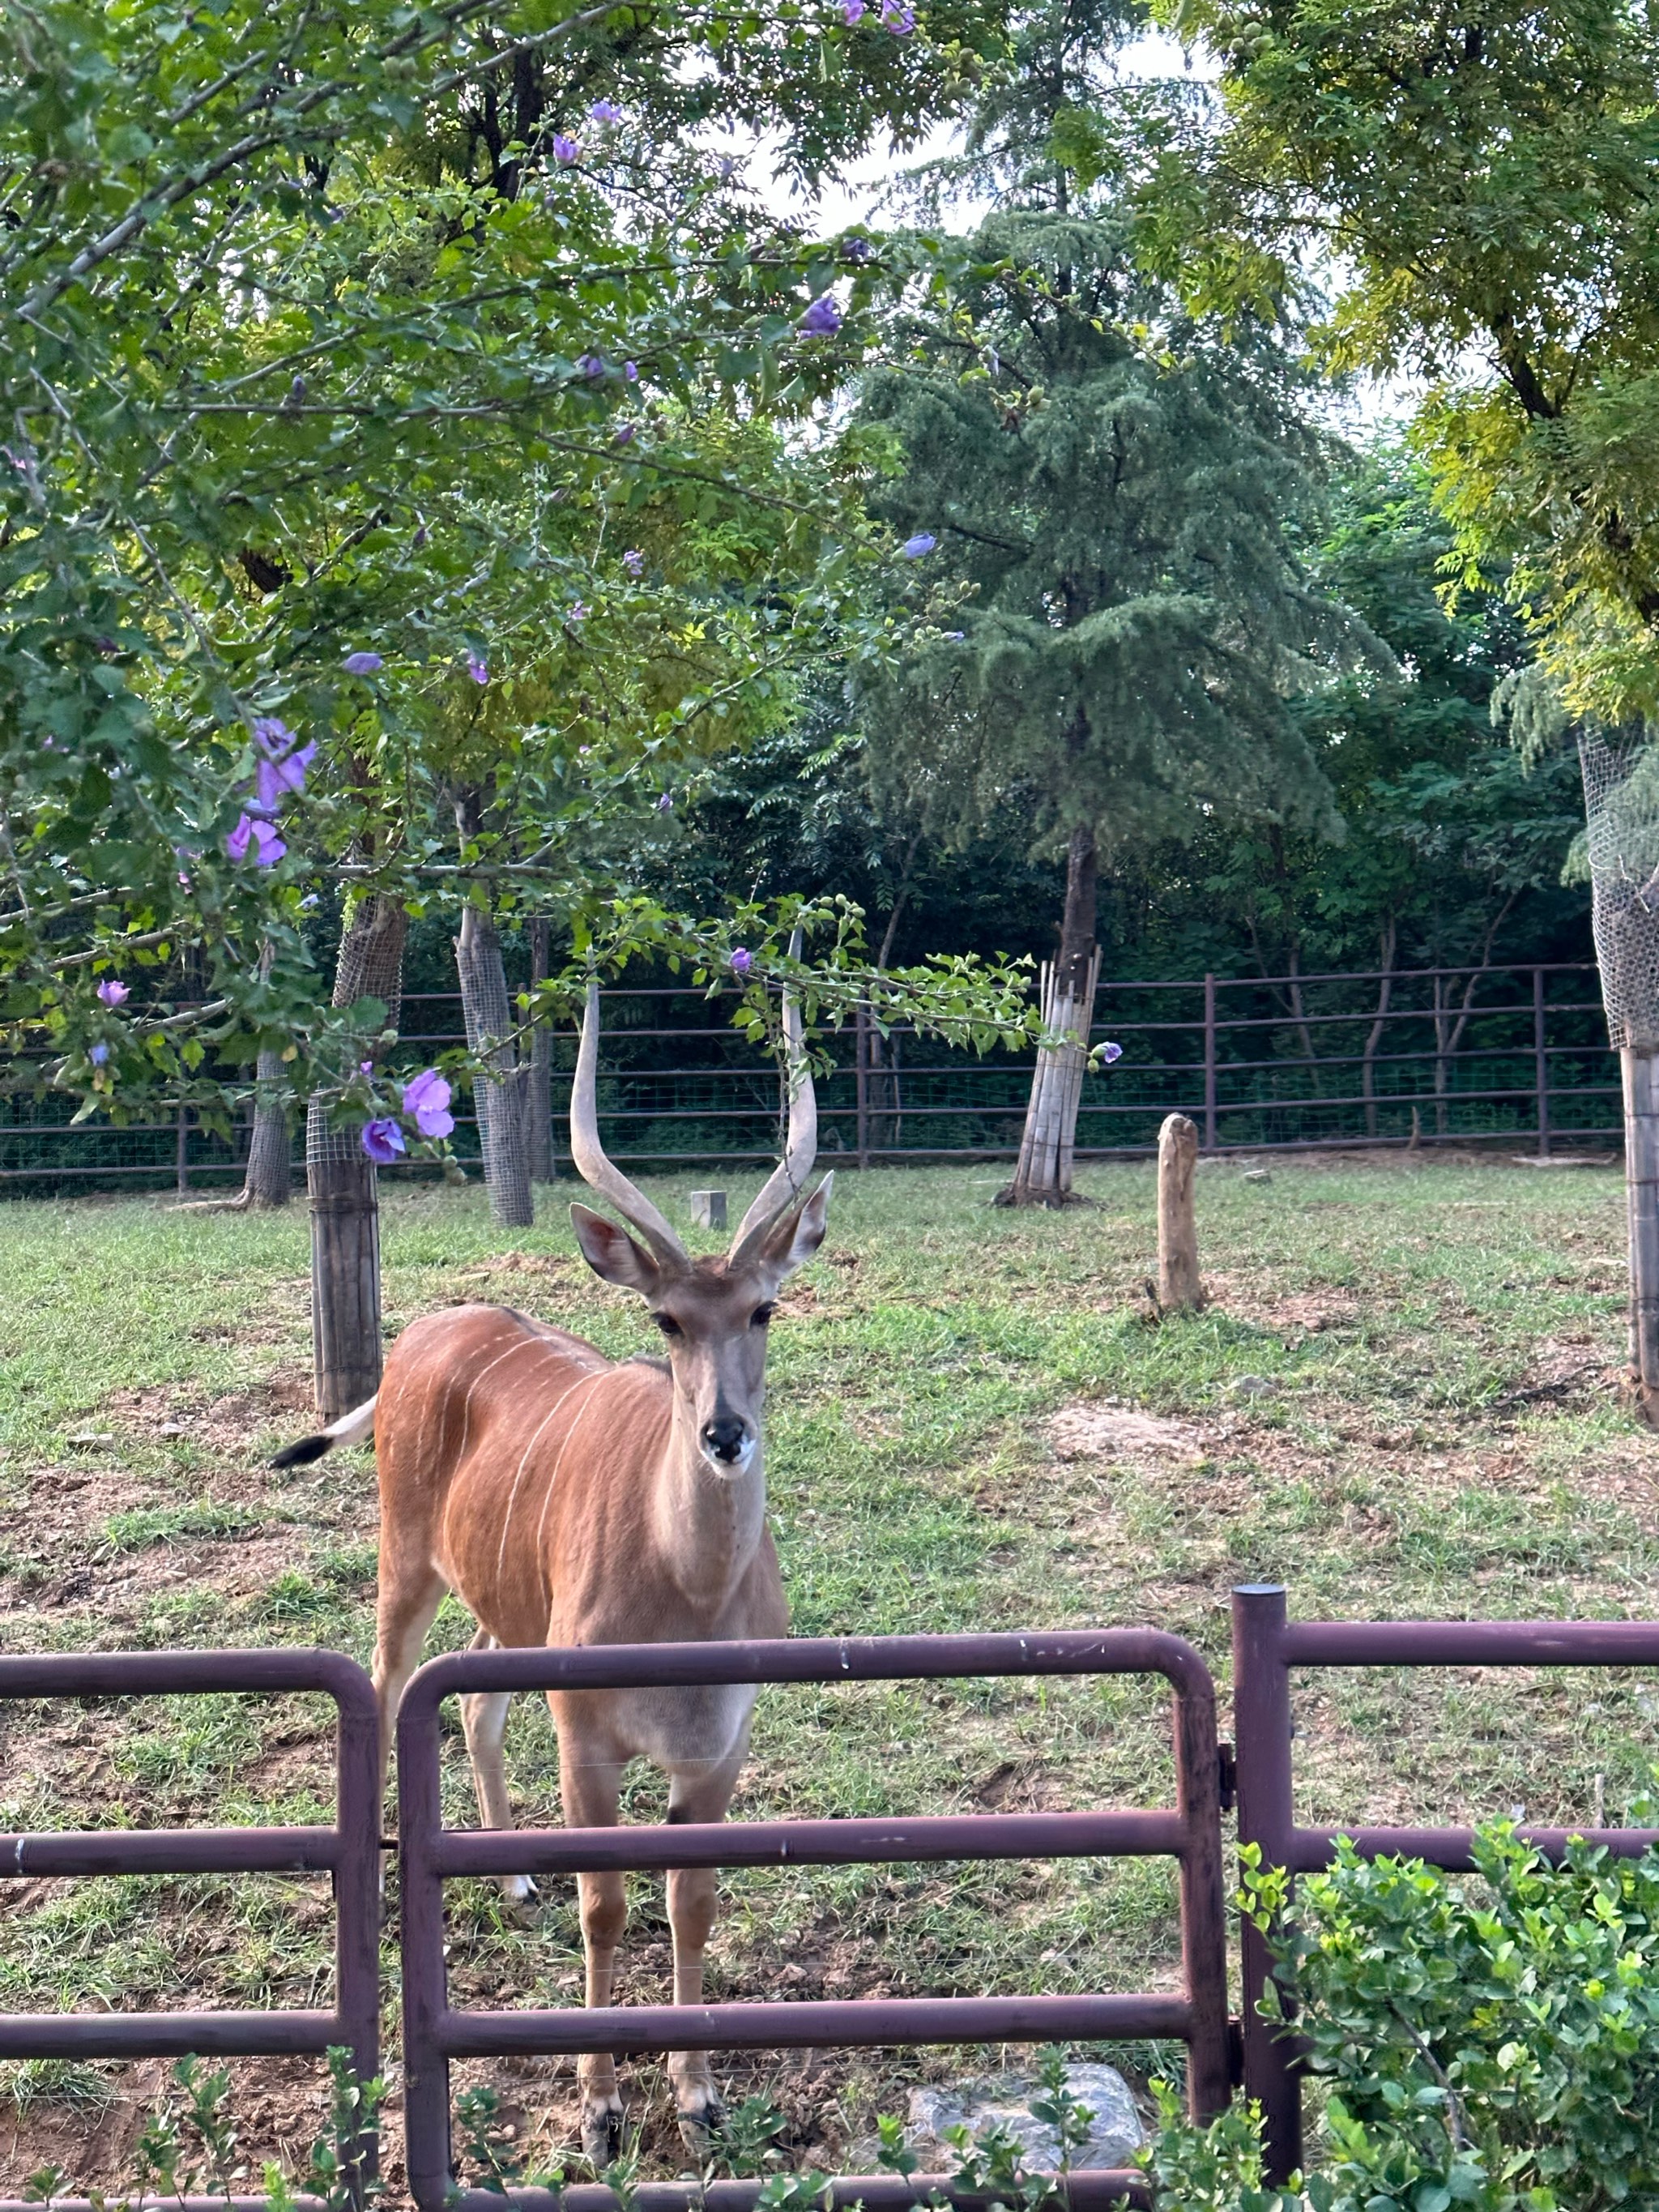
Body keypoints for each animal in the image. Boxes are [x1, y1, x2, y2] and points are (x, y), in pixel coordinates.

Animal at [277, 986, 836, 2159]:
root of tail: (420, 1336)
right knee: (390, 1683)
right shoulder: (586, 1735)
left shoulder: (718, 1747)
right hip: (406, 1562)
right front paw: (598, 2110)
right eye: (666, 1316)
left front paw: (698, 2096)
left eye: (763, 1307)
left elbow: (691, 1902)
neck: (690, 1600)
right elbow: (608, 1905)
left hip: (506, 1613)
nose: (724, 1433)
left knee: (471, 1702)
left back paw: (514, 1872)